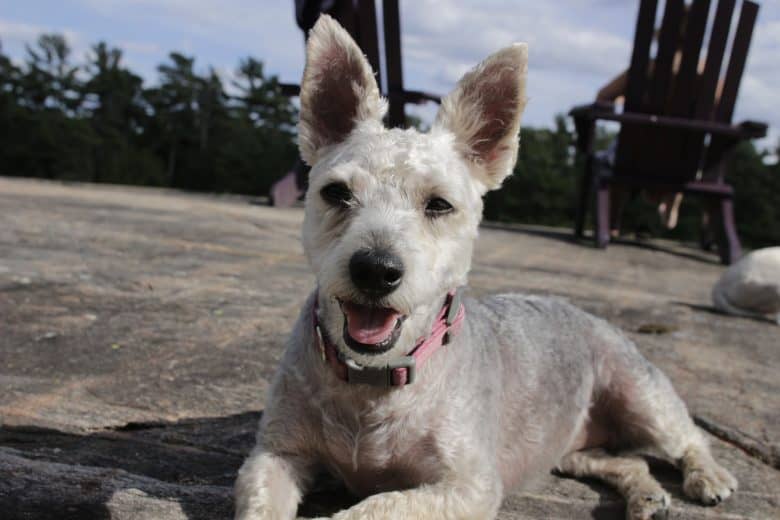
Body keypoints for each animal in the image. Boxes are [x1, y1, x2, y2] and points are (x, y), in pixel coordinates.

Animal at [235, 16, 736, 520]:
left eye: (439, 204)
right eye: (336, 193)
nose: (375, 269)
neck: (374, 379)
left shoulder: (469, 484)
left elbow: (378, 506)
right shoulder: (274, 454)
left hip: (642, 397)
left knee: (689, 437)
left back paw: (709, 477)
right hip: (571, 450)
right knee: (627, 462)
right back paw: (648, 497)